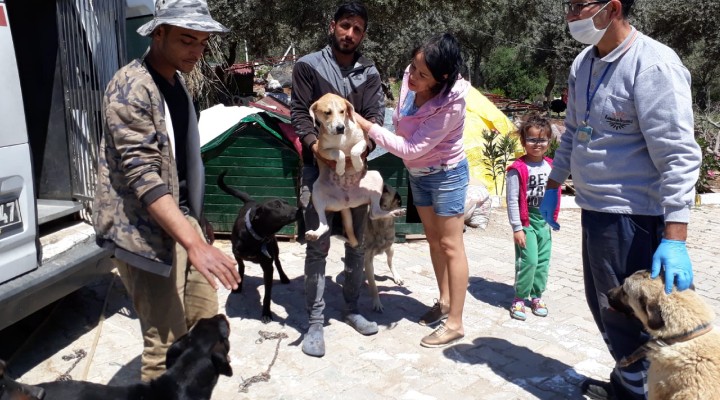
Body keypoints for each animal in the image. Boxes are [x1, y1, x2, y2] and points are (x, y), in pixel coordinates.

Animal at [218, 170, 300, 324]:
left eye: (286, 203)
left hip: (274, 247)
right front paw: (238, 284)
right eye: (277, 206)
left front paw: (266, 313)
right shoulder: (236, 254)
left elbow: (268, 294)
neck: (255, 237)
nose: (299, 210)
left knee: (278, 262)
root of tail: (251, 202)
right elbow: (241, 267)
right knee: (243, 266)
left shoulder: (268, 267)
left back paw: (284, 277)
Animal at [304, 94, 404, 248]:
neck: (341, 137)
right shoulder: (322, 150)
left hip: (376, 178)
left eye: (342, 111)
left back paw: (396, 212)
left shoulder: (363, 140)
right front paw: (340, 168)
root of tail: (346, 203)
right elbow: (338, 152)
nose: (340, 127)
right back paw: (314, 234)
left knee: (374, 213)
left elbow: (354, 150)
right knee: (326, 225)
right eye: (327, 113)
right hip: (316, 193)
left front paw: (357, 164)